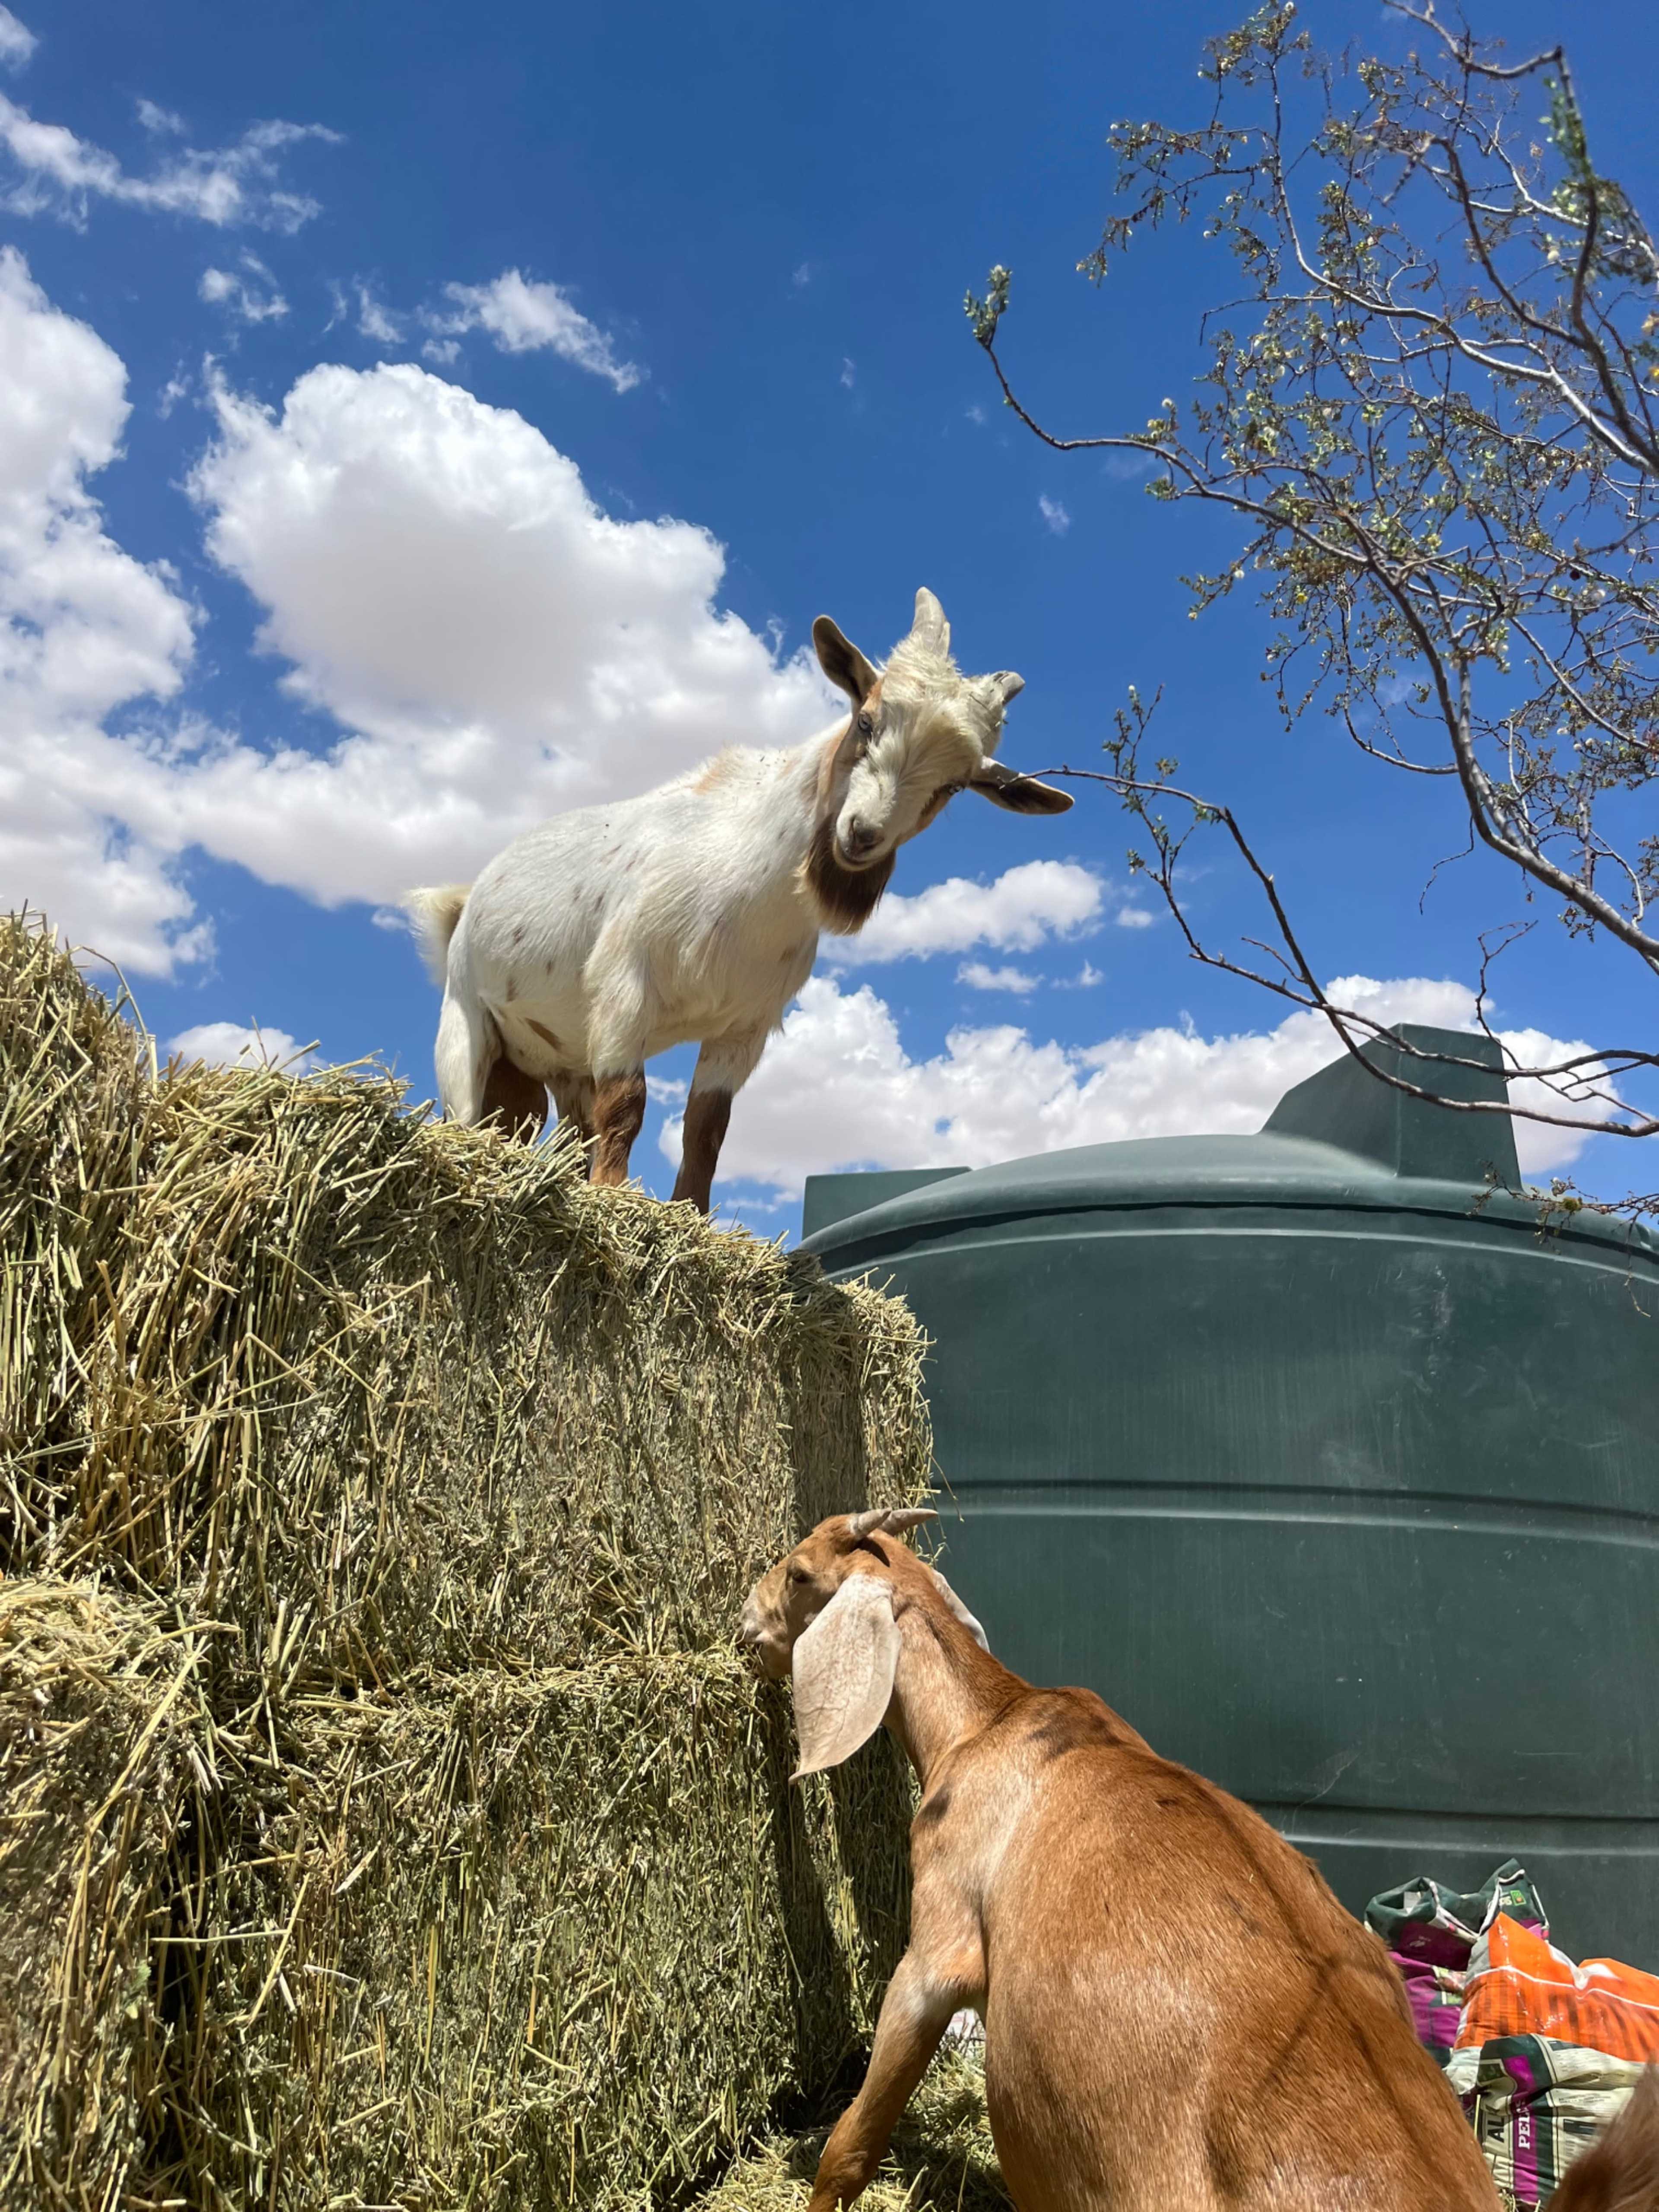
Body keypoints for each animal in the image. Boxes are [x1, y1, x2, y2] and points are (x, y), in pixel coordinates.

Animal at [405, 589, 1069, 1212]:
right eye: (866, 721)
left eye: (954, 786)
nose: (862, 835)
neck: (747, 880)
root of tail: (464, 905)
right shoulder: (623, 988)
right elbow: (627, 1106)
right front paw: (617, 1201)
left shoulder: (744, 1027)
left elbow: (706, 1129)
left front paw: (691, 1216)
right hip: (466, 1031)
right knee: (473, 1119)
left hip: (552, 1067)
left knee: (565, 1132)